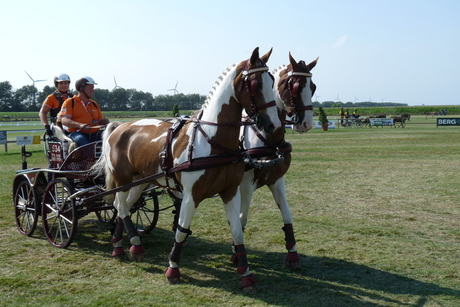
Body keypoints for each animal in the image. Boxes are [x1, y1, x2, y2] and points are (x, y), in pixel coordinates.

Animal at [90, 47, 280, 292]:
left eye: (272, 80)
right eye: (255, 83)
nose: (273, 125)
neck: (213, 141)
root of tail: (119, 126)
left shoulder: (230, 192)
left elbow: (237, 232)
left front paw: (246, 275)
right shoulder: (191, 195)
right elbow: (181, 230)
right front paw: (173, 269)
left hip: (141, 181)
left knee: (123, 206)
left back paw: (120, 245)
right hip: (122, 180)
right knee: (121, 207)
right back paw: (134, 244)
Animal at [239, 53, 318, 272]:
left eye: (313, 87)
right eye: (295, 86)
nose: (306, 124)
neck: (267, 140)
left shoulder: (276, 180)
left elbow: (287, 215)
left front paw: (292, 255)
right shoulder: (246, 185)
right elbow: (241, 219)